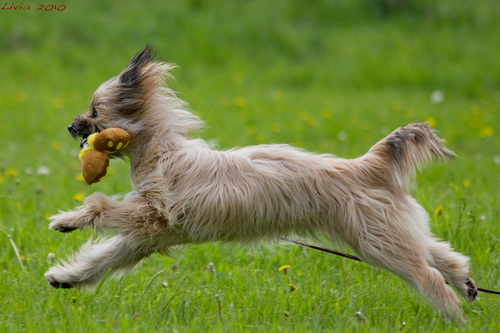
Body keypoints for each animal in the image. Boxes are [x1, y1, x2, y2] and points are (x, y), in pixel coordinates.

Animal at [44, 45, 476, 320]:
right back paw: (465, 283)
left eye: (95, 111)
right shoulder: (149, 234)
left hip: (376, 241)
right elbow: (105, 257)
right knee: (438, 252)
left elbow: (101, 205)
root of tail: (368, 166)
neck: (161, 153)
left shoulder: (154, 215)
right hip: (388, 230)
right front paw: (66, 277)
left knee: (427, 275)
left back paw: (453, 314)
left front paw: (68, 220)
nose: (70, 126)